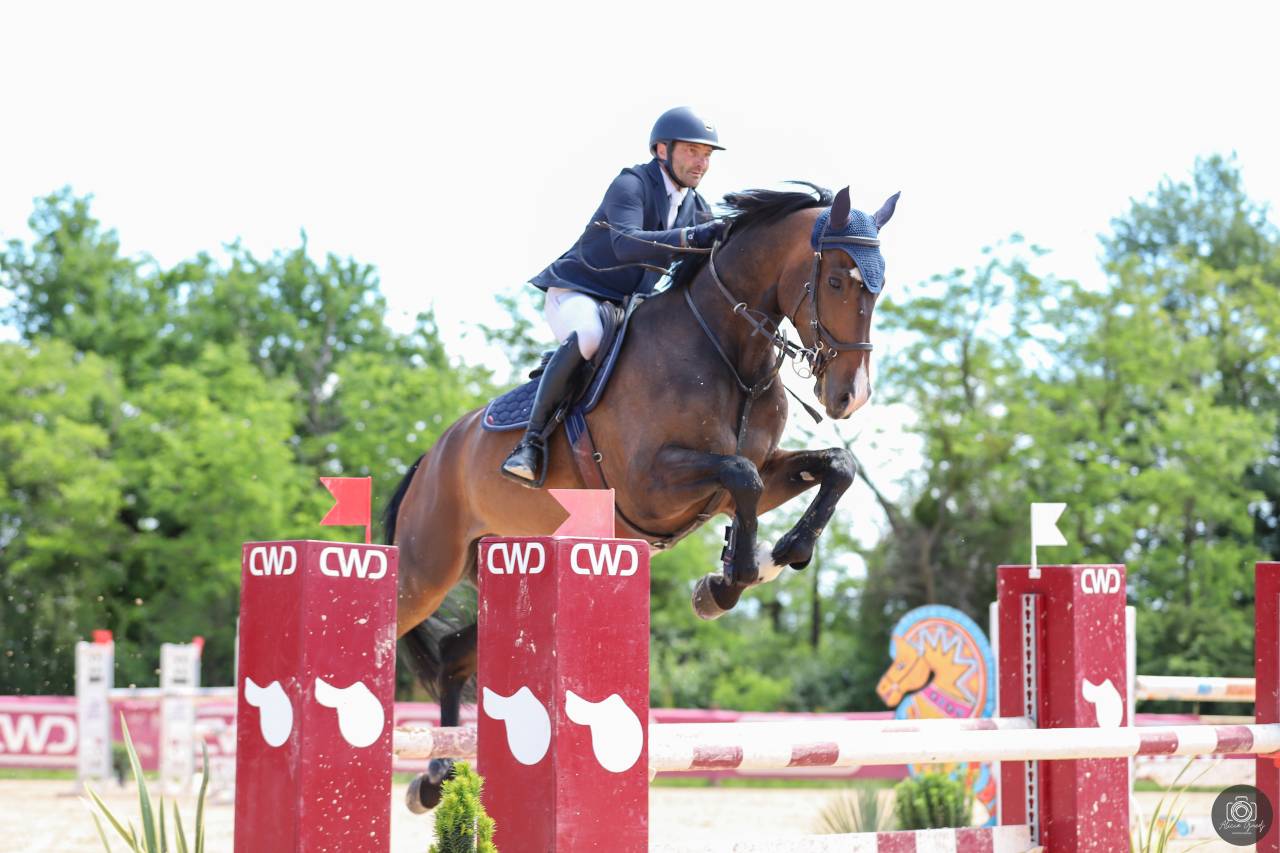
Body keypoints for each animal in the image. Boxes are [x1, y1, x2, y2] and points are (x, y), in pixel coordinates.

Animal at [384, 182, 899, 810]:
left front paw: (773, 558)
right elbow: (741, 478)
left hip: (504, 565)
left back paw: (436, 777)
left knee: (457, 655)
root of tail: (429, 457)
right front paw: (729, 582)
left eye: (880, 285)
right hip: (425, 570)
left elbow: (833, 469)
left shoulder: (758, 472)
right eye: (837, 282)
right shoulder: (648, 486)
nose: (850, 396)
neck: (731, 353)